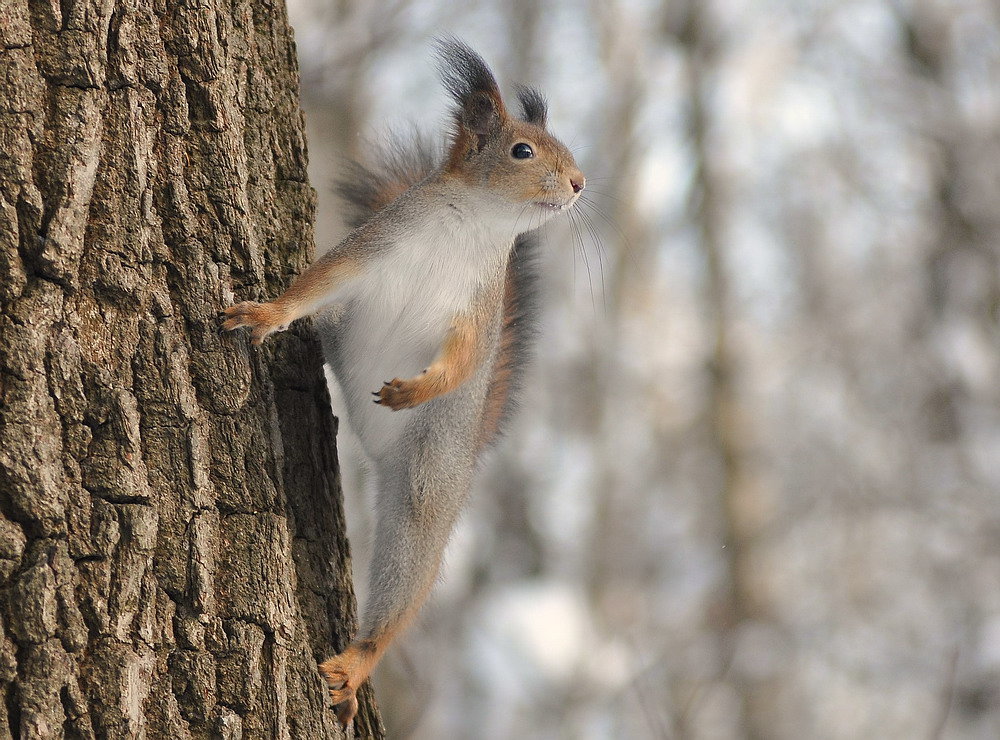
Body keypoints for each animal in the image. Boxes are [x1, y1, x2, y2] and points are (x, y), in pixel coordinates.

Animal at [223, 37, 584, 724]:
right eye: (523, 151)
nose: (580, 183)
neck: (475, 223)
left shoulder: (479, 312)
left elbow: (464, 361)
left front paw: (411, 391)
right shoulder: (374, 248)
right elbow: (318, 281)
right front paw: (267, 314)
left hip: (429, 480)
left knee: (407, 570)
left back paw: (357, 661)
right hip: (347, 335)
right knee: (327, 326)